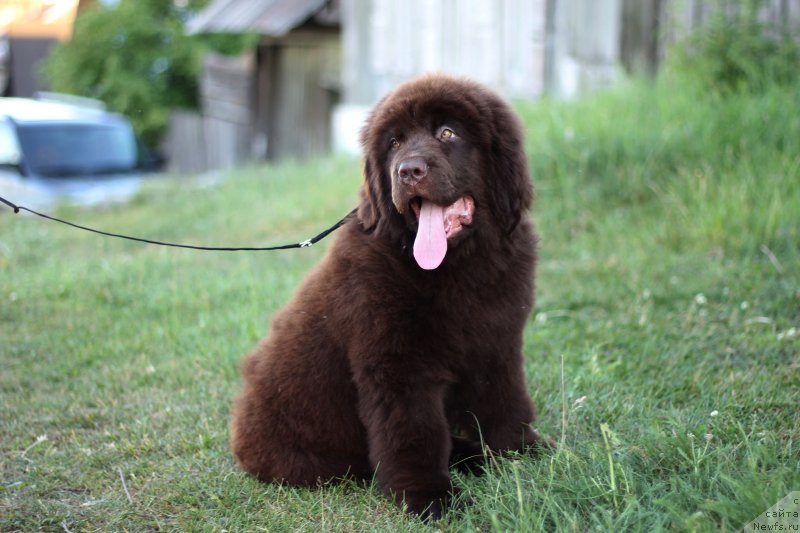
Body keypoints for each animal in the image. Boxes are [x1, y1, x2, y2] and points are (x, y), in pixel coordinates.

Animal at [228, 72, 548, 516]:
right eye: (394, 143)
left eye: (447, 133)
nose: (408, 171)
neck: (457, 266)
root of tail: (241, 433)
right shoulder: (397, 364)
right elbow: (414, 433)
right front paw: (431, 499)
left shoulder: (497, 341)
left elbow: (504, 398)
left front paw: (519, 449)